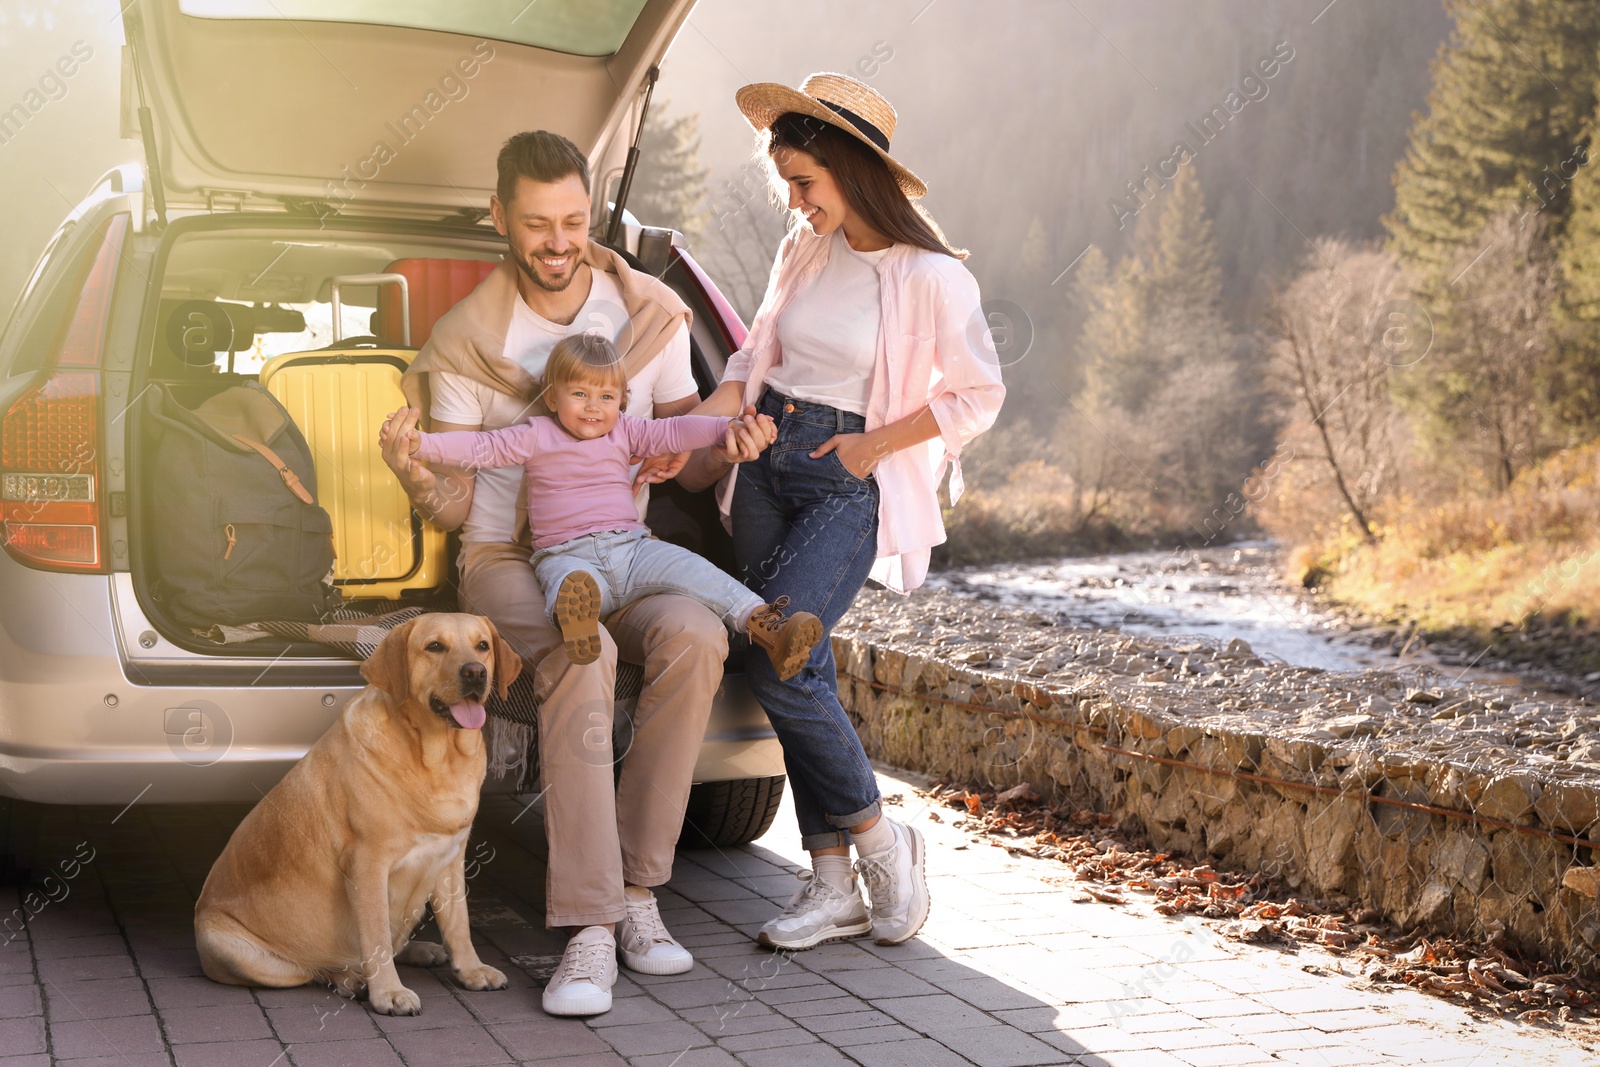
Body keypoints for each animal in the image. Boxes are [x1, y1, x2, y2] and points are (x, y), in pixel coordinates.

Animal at [192, 614, 518, 1017]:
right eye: (435, 647)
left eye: (483, 646)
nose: (475, 673)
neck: (436, 759)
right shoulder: (367, 863)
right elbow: (375, 934)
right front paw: (388, 992)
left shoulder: (451, 860)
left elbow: (459, 925)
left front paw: (472, 970)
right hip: (240, 951)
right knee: (316, 970)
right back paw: (354, 980)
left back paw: (418, 950)